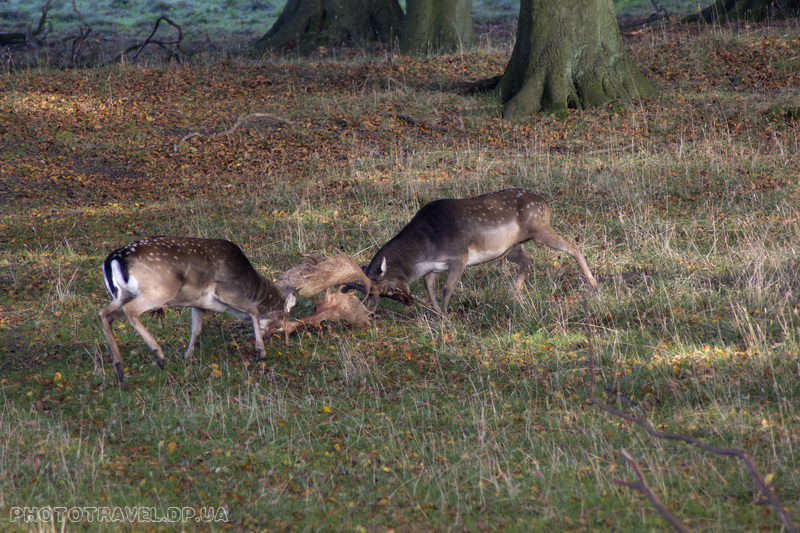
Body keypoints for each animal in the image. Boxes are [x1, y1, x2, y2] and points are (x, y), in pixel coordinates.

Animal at [97, 237, 296, 382]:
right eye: (281, 322)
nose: (270, 337)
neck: (251, 287)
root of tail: (113, 260)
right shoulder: (225, 290)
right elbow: (254, 310)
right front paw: (261, 351)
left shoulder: (198, 304)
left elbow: (196, 329)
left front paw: (188, 356)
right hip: (159, 289)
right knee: (129, 311)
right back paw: (158, 355)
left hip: (122, 294)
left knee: (103, 313)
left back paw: (119, 369)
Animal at [360, 187, 596, 312]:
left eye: (389, 288)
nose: (408, 301)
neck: (425, 249)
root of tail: (545, 204)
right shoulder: (435, 267)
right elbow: (429, 286)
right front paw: (437, 313)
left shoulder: (459, 255)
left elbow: (447, 288)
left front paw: (445, 316)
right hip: (509, 248)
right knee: (529, 258)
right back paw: (515, 293)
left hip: (539, 228)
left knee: (572, 246)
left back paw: (592, 284)